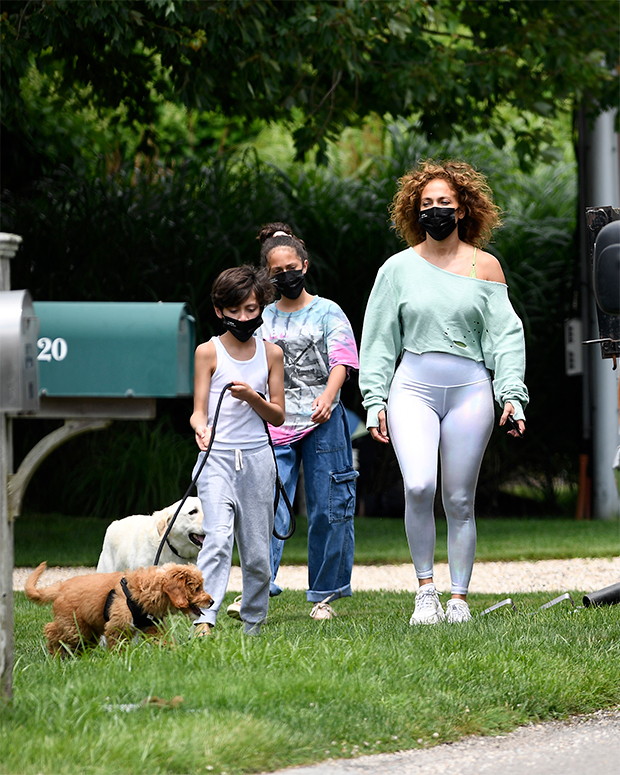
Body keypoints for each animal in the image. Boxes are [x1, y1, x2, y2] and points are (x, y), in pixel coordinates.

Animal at [24, 564, 213, 656]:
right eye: (197, 588)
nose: (212, 601)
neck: (144, 590)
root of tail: (60, 587)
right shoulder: (117, 626)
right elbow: (118, 646)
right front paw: (119, 660)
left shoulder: (154, 627)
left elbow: (167, 641)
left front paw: (179, 654)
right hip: (74, 626)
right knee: (51, 630)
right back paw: (55, 654)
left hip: (88, 632)